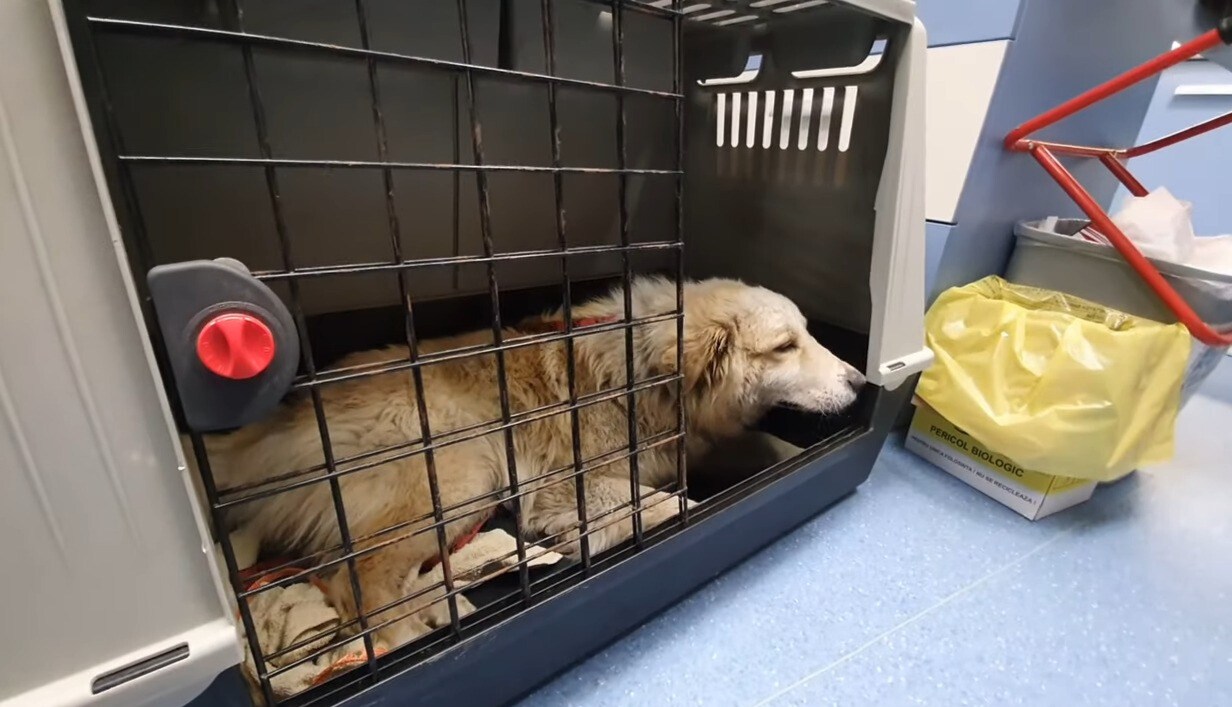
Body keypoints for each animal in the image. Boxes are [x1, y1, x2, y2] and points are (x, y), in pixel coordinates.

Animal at [197, 278, 862, 655]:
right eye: (784, 347)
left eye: (807, 335)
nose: (860, 381)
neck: (647, 380)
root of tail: (272, 424)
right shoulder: (568, 489)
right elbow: (670, 504)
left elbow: (764, 449)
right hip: (464, 474)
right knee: (358, 586)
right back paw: (410, 636)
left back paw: (443, 607)